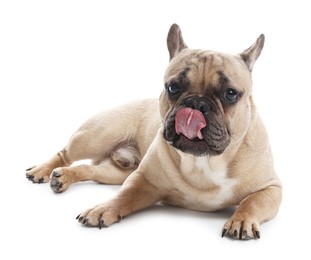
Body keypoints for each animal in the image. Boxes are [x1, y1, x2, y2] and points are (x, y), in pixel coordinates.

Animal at [26, 23, 282, 240]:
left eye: (230, 94)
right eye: (173, 87)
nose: (196, 103)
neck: (203, 162)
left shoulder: (271, 188)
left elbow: (253, 202)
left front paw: (241, 220)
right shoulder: (143, 180)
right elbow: (124, 196)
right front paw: (103, 209)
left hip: (116, 171)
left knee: (91, 169)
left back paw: (63, 177)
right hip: (96, 137)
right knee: (66, 154)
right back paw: (43, 171)